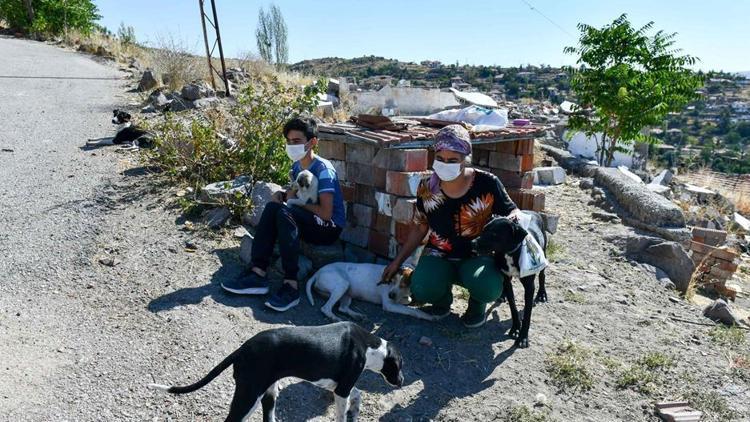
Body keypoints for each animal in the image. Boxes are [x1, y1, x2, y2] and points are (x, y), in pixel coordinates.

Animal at [148, 322, 406, 420]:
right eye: (400, 365)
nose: (402, 381)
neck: (369, 346)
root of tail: (241, 350)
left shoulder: (340, 386)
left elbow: (358, 394)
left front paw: (356, 411)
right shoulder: (341, 389)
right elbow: (342, 413)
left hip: (269, 395)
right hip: (249, 397)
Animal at [306, 262, 438, 322]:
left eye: (403, 285)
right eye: (392, 281)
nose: (390, 295)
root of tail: (318, 272)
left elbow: (407, 300)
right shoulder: (389, 304)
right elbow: (412, 310)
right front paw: (428, 316)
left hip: (346, 293)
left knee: (342, 308)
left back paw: (357, 315)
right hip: (342, 285)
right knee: (326, 308)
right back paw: (337, 319)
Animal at [476, 213, 552, 348]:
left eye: (494, 235)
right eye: (483, 230)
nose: (473, 243)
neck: (509, 253)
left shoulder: (529, 287)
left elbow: (527, 314)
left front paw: (523, 338)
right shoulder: (507, 280)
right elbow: (513, 307)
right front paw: (516, 328)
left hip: (543, 253)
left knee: (542, 275)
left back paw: (542, 294)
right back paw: (502, 295)